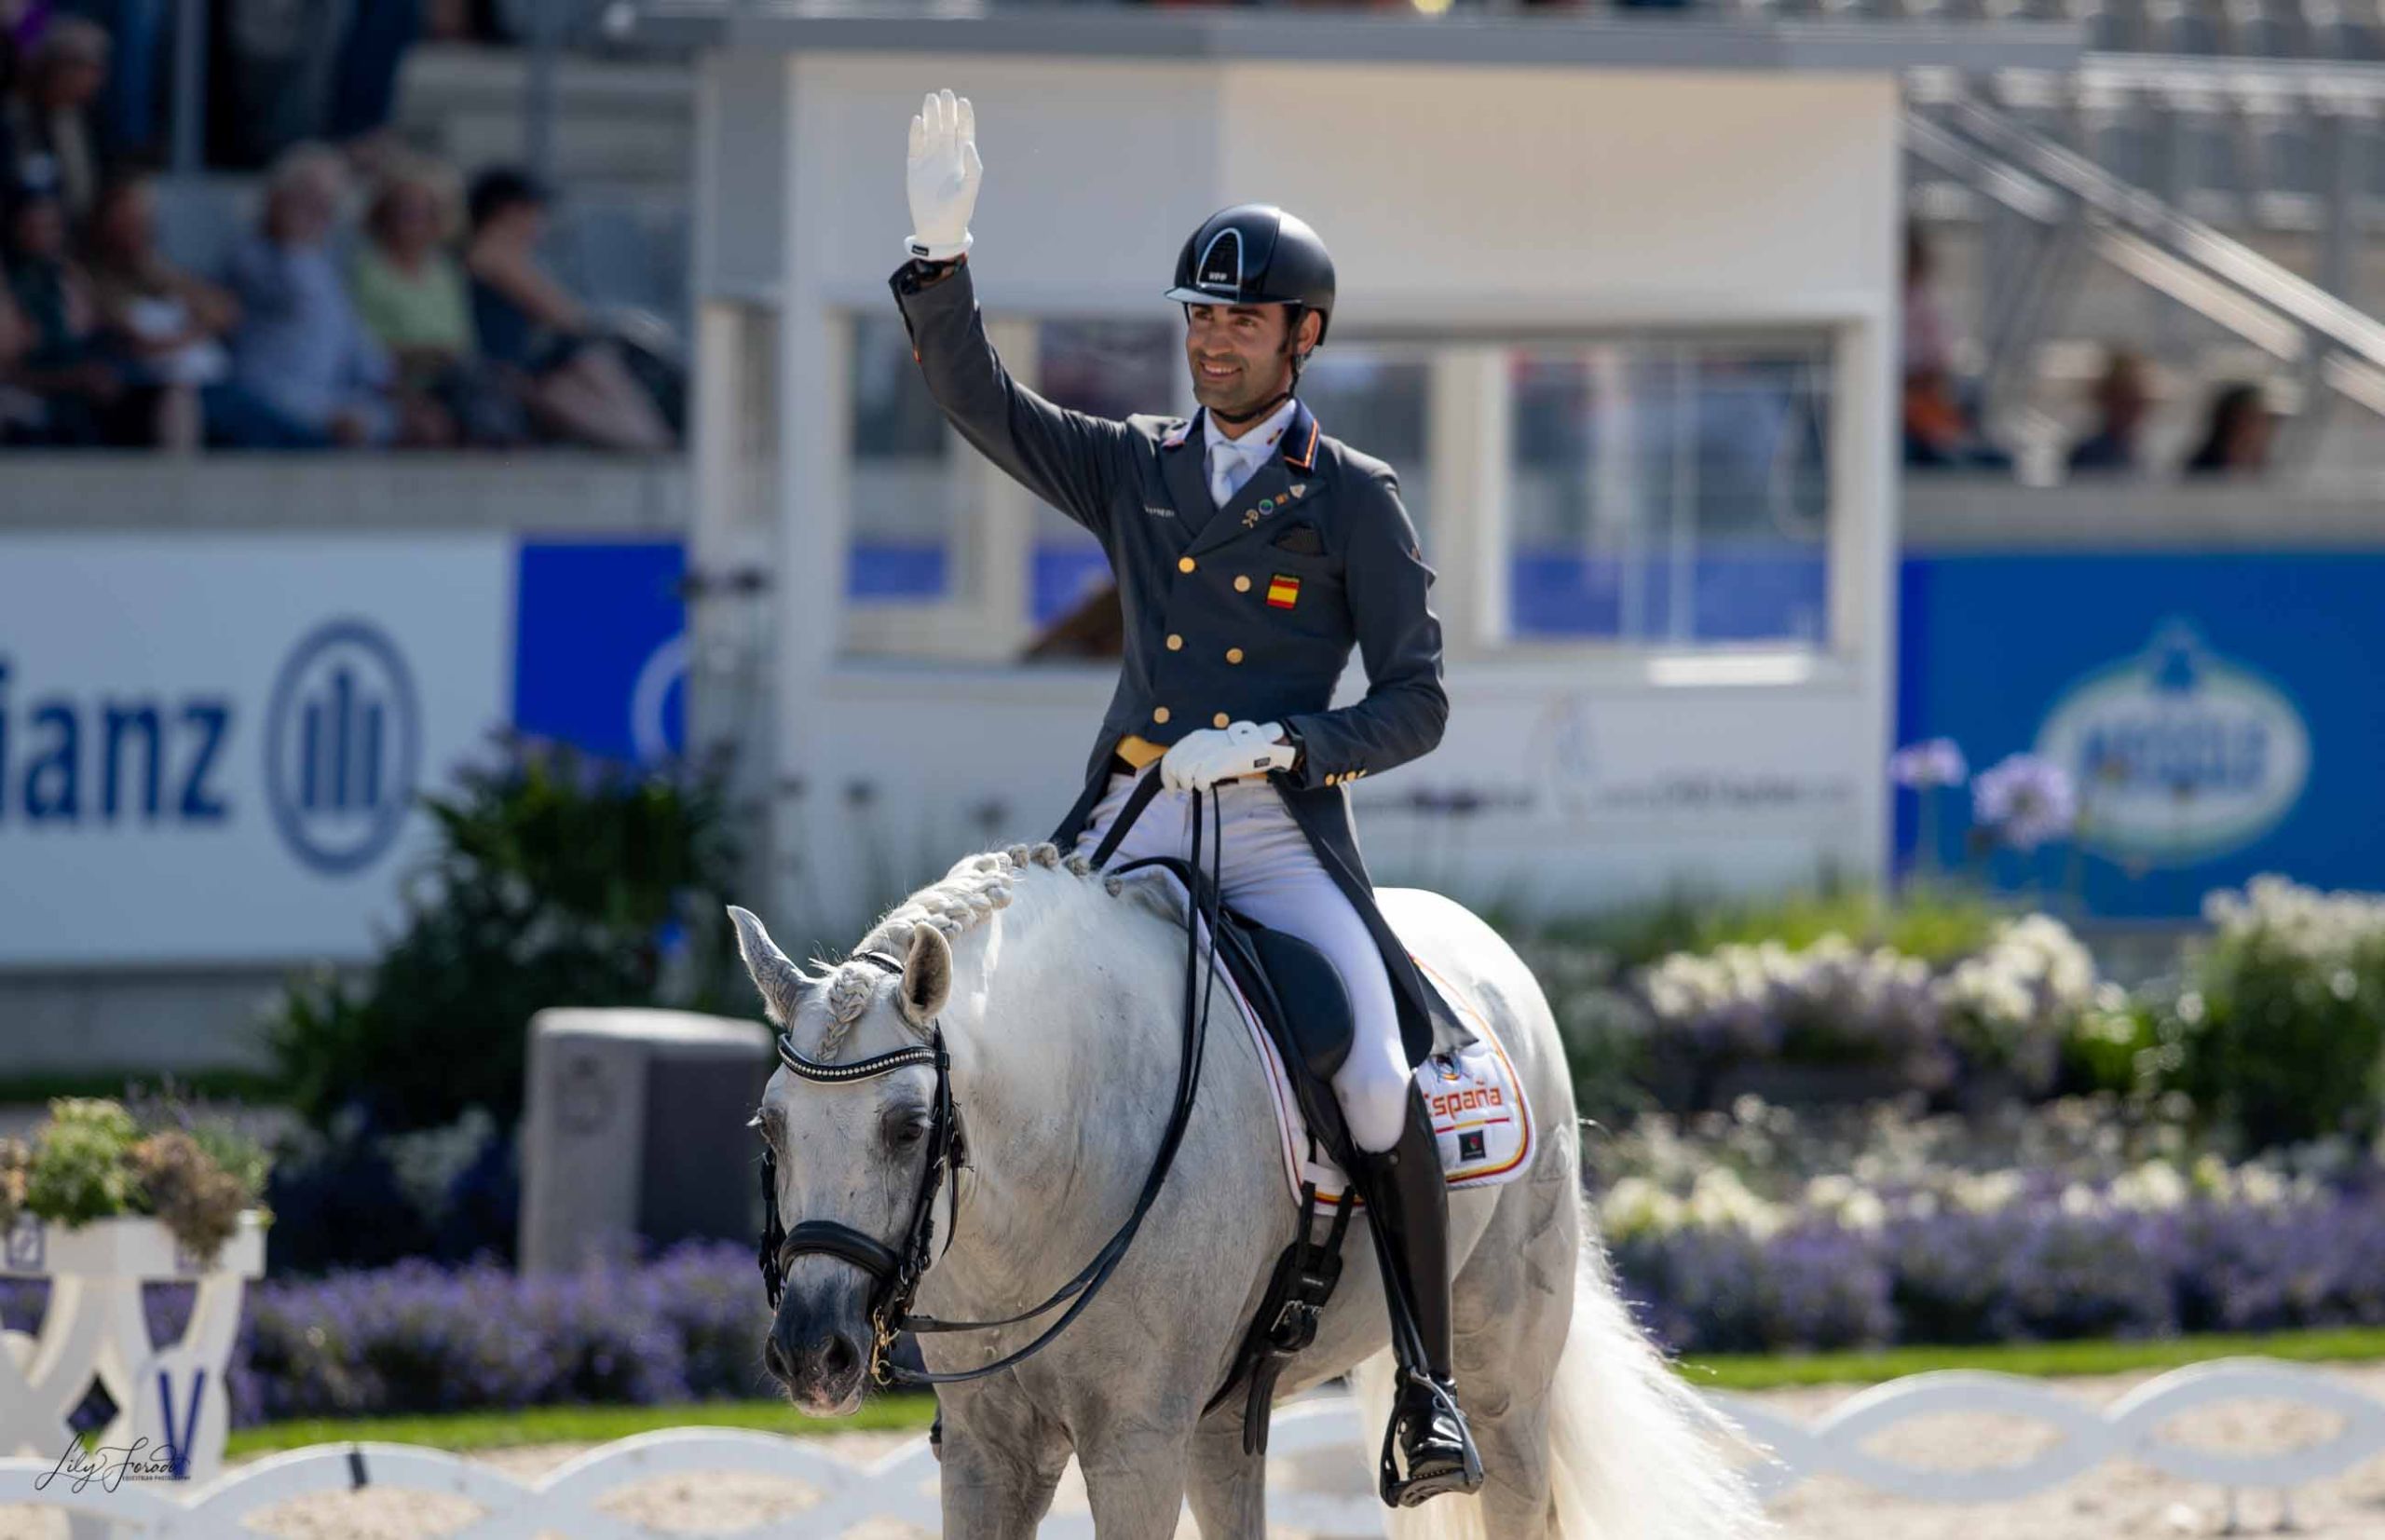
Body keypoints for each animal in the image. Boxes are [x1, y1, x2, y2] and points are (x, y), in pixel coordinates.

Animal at [734, 843, 1765, 1540]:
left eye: (908, 1127)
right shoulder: (993, 1450)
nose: (812, 1354)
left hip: (1505, 1376)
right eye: (769, 1128)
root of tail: (1481, 942)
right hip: (1226, 1420)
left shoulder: (1135, 1445)